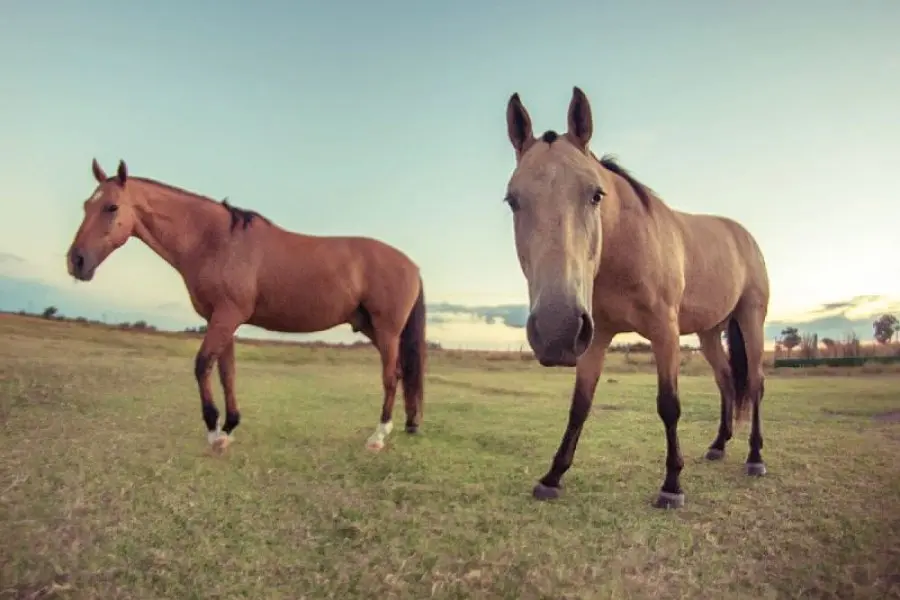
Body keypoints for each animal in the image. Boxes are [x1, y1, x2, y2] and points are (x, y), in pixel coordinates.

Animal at [65, 159, 427, 453]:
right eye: (86, 205)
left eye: (111, 207)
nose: (76, 261)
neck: (216, 241)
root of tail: (411, 265)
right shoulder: (222, 319)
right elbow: (227, 372)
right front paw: (229, 428)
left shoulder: (226, 316)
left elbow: (202, 365)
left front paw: (214, 432)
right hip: (371, 328)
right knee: (400, 373)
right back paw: (408, 424)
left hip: (386, 330)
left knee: (390, 376)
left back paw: (378, 437)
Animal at [502, 87, 770, 509]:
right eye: (512, 200)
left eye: (595, 195)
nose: (554, 330)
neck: (626, 247)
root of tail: (743, 235)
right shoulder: (594, 337)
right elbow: (580, 406)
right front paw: (553, 476)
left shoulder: (665, 332)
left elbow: (669, 405)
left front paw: (672, 485)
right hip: (710, 332)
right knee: (727, 380)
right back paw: (718, 446)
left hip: (750, 319)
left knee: (755, 383)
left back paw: (755, 457)